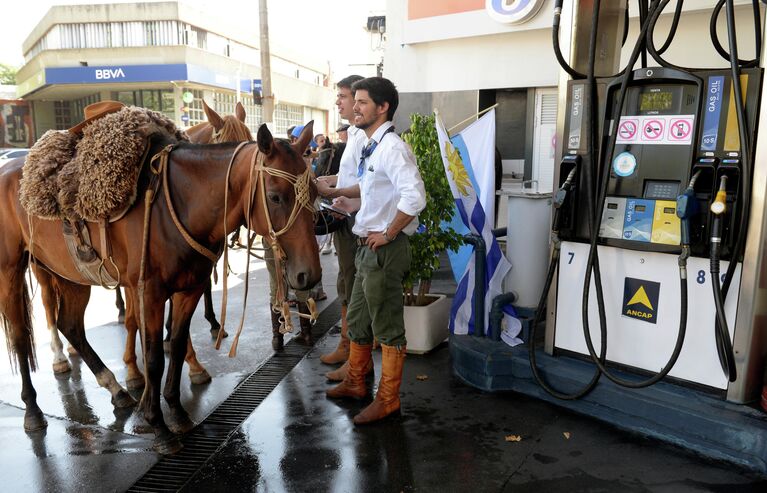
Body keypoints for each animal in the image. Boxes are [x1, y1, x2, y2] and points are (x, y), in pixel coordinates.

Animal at [0, 121, 318, 452]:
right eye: (275, 197)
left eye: (315, 191)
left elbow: (176, 347)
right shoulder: (148, 293)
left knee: (70, 324)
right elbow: (153, 359)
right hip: (11, 271)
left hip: (69, 275)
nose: (308, 274)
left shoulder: (189, 290)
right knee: (21, 336)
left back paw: (116, 389)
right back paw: (33, 409)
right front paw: (158, 425)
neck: (178, 203)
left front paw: (176, 411)